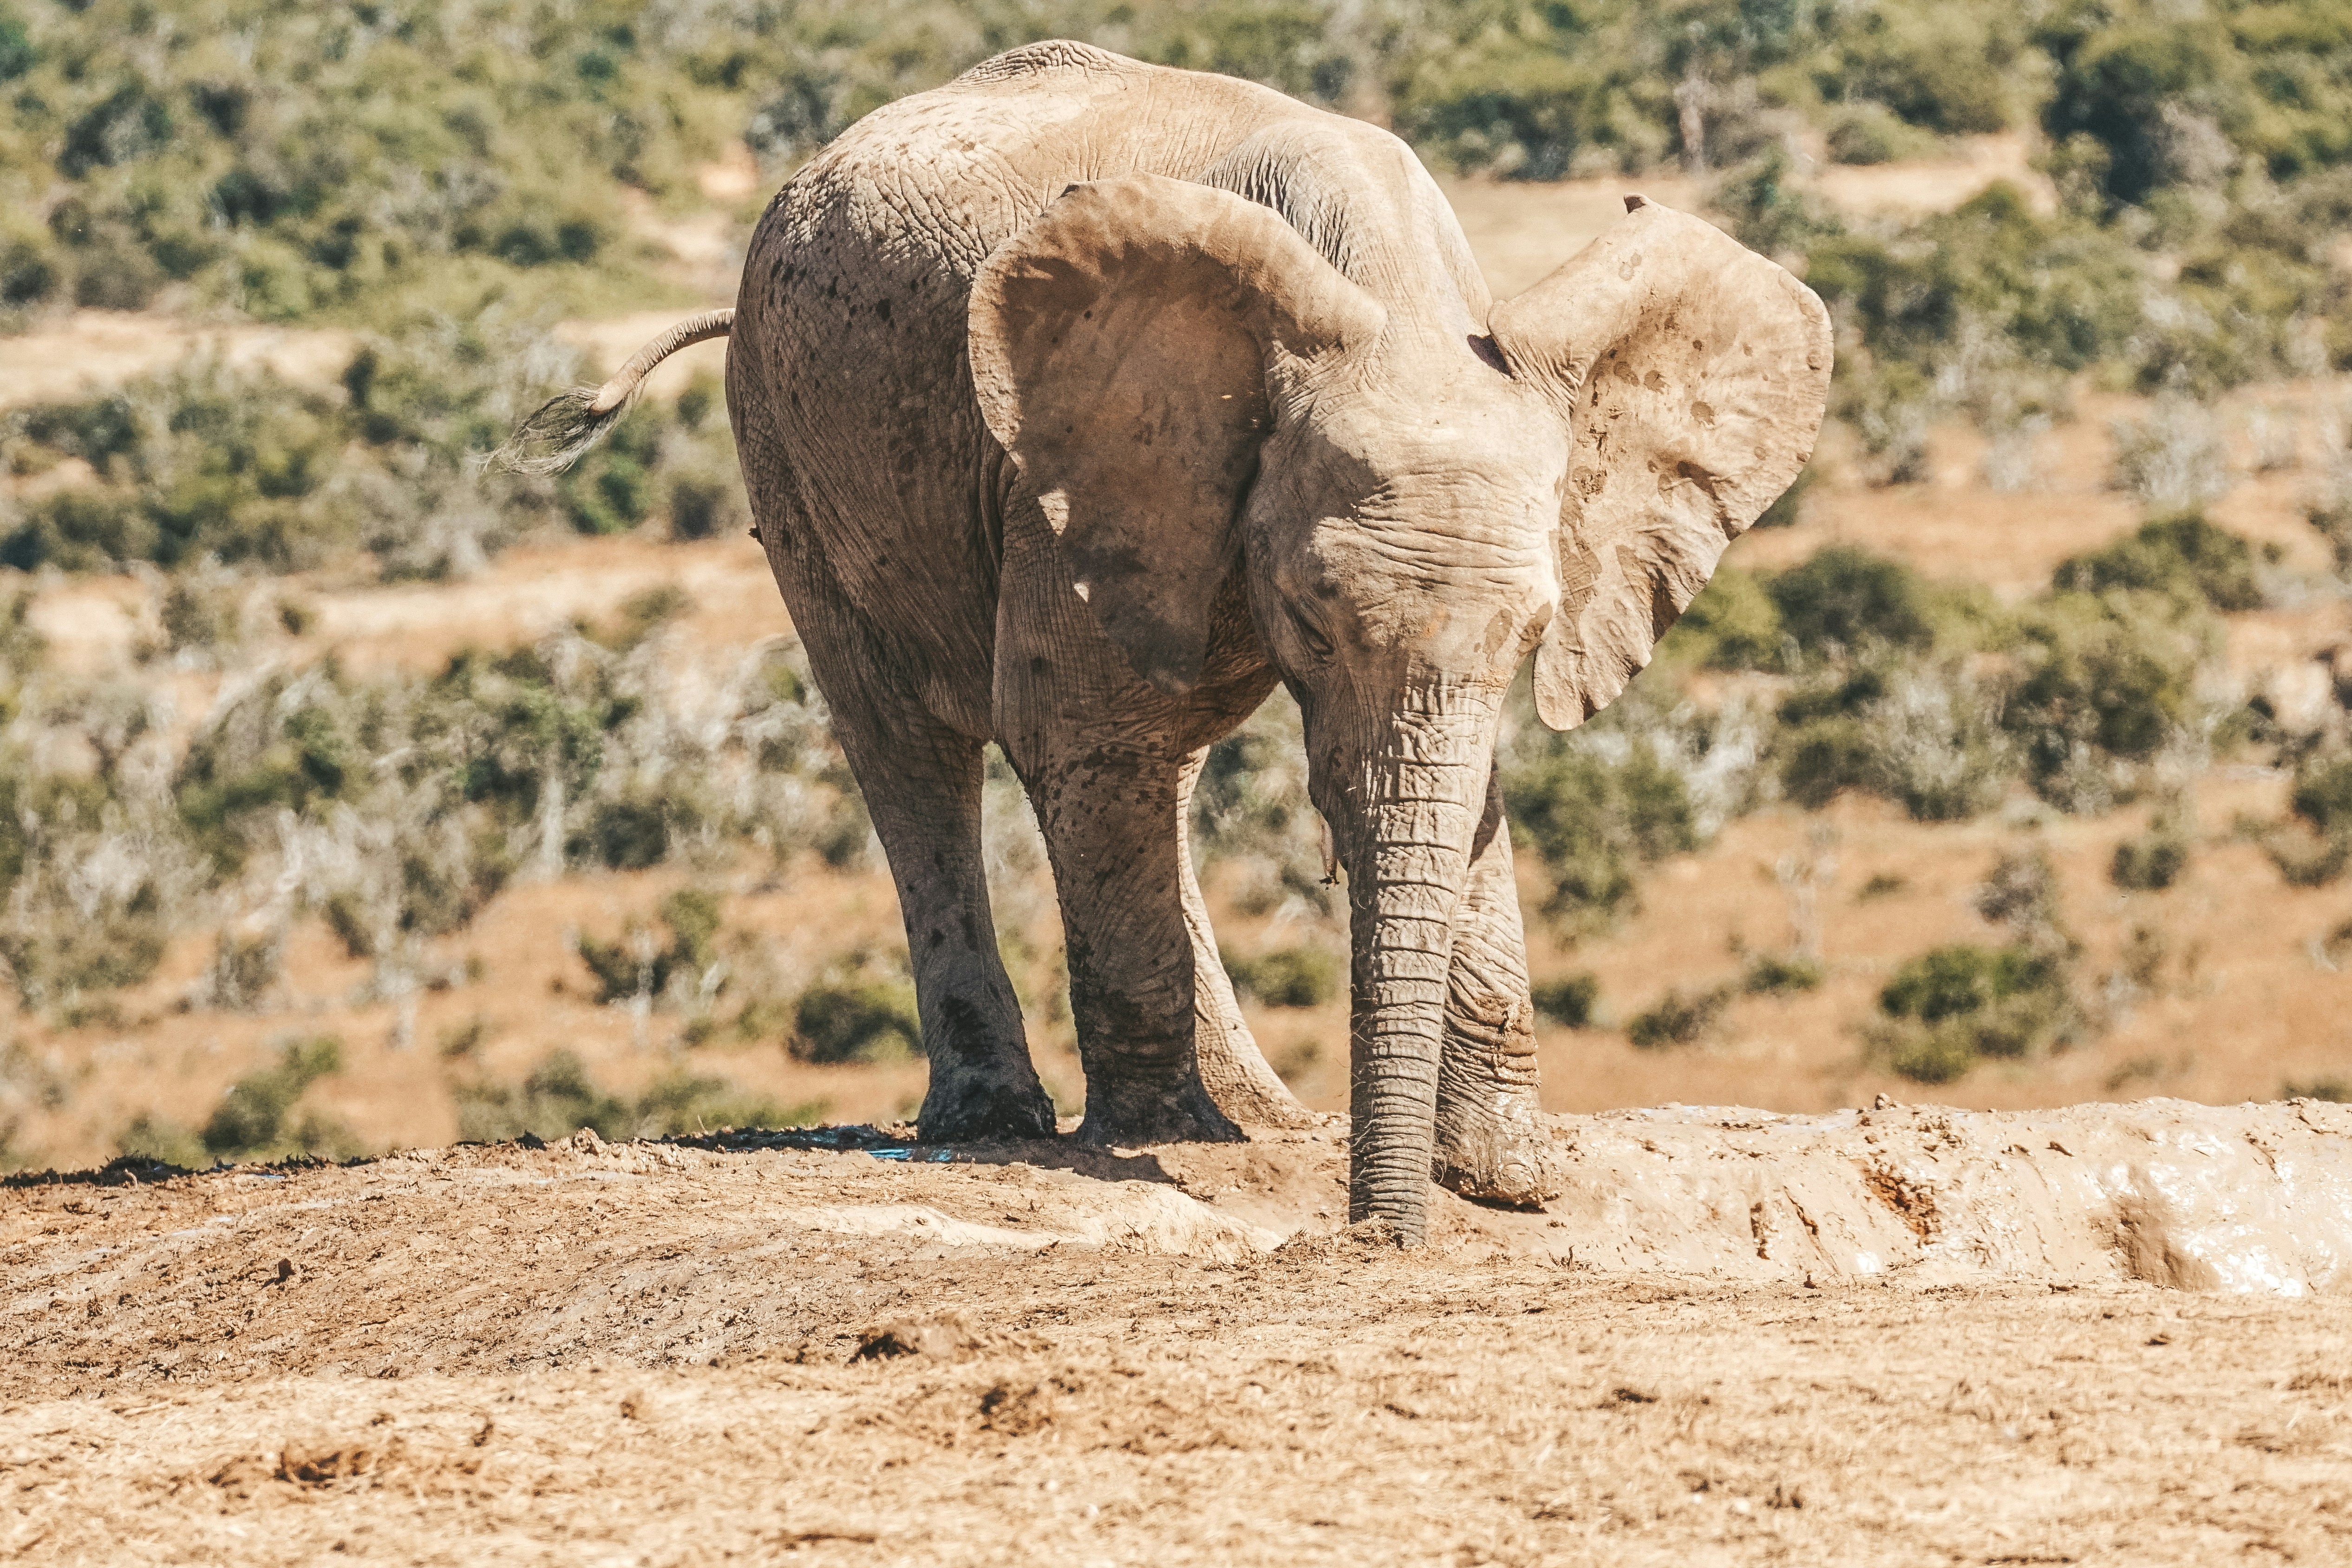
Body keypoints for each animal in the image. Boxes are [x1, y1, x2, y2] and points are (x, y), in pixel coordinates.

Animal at [502, 40, 1830, 1244]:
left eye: (1538, 632)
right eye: (1310, 613)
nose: (1378, 1235)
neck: (1391, 301)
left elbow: (1462, 795)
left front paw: (1504, 1179)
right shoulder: (1073, 465)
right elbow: (1074, 727)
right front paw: (1163, 1145)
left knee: (1154, 773)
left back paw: (1262, 1115)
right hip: (787, 436)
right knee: (913, 747)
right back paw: (1012, 1120)